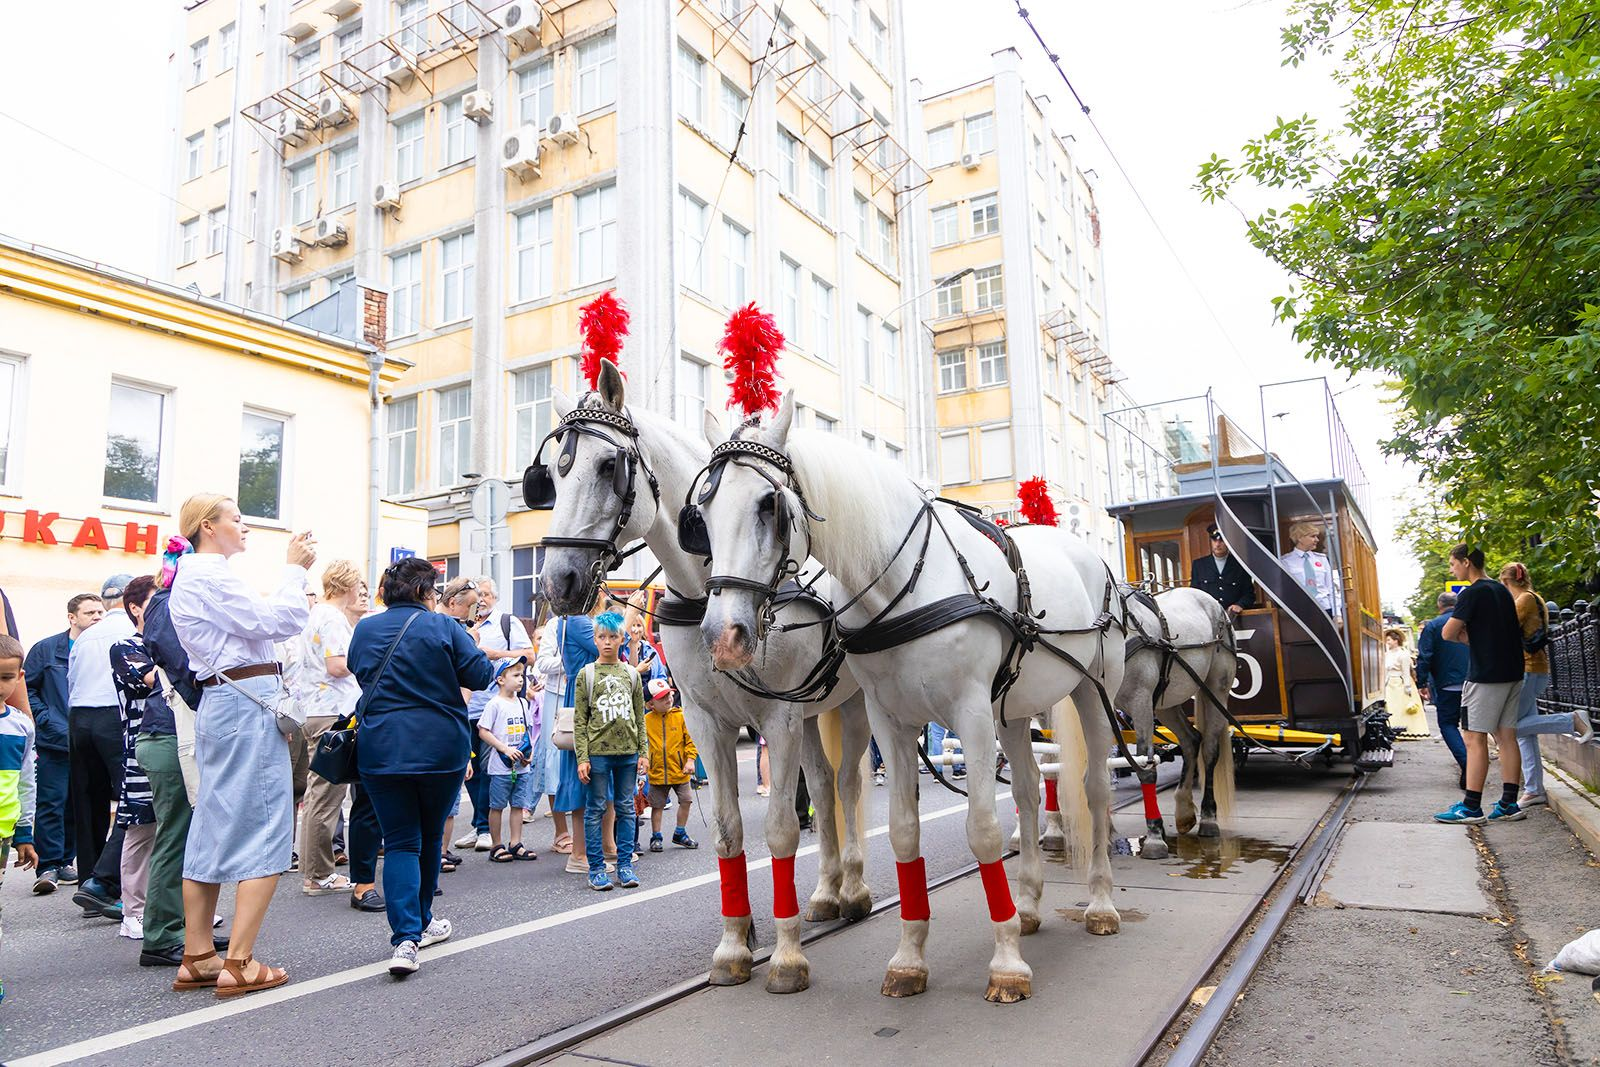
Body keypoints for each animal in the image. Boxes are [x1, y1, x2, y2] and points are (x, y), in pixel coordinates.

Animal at [533, 362, 872, 995]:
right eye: (553, 475)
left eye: (608, 466)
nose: (558, 583)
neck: (708, 591)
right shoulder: (706, 719)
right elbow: (728, 830)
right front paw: (734, 948)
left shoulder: (777, 717)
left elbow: (782, 829)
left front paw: (785, 958)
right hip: (813, 711)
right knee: (823, 784)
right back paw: (826, 893)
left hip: (851, 704)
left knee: (845, 786)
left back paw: (857, 890)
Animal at [689, 393, 1126, 1005]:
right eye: (701, 514)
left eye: (768, 505)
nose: (721, 637)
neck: (905, 583)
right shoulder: (890, 721)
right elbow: (902, 831)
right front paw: (909, 958)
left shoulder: (969, 714)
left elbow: (983, 830)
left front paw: (1006, 963)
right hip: (1012, 713)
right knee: (1029, 791)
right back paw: (1029, 906)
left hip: (1092, 691)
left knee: (1093, 789)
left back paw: (1101, 904)